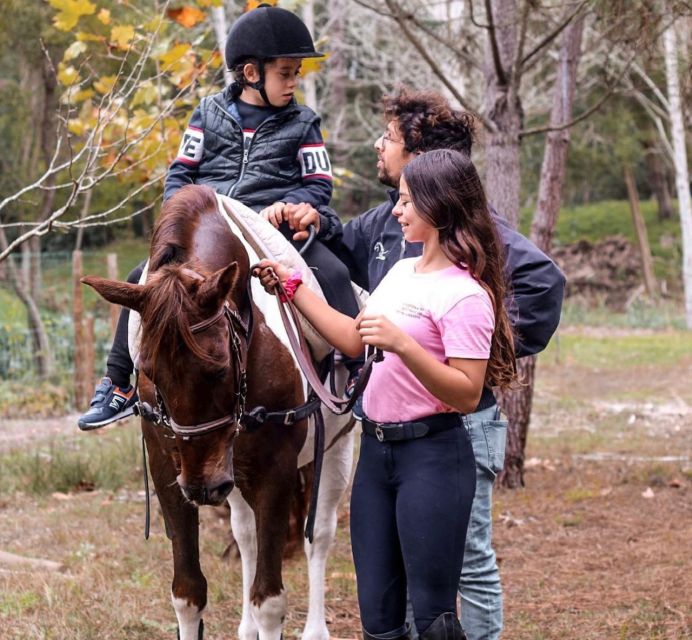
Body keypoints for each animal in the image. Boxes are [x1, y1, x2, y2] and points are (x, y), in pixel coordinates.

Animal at [82, 184, 355, 640]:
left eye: (220, 367)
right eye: (150, 371)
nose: (202, 488)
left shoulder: (275, 470)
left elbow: (270, 601)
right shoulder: (168, 470)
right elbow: (188, 593)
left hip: (334, 447)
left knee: (318, 534)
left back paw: (315, 628)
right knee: (245, 535)